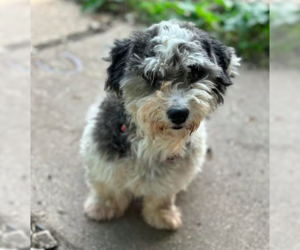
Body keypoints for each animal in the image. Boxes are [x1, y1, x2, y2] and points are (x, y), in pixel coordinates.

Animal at [81, 20, 240, 230]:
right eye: (150, 76)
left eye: (196, 72)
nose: (179, 113)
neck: (152, 142)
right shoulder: (101, 157)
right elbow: (107, 187)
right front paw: (103, 207)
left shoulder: (173, 177)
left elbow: (161, 197)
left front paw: (161, 215)